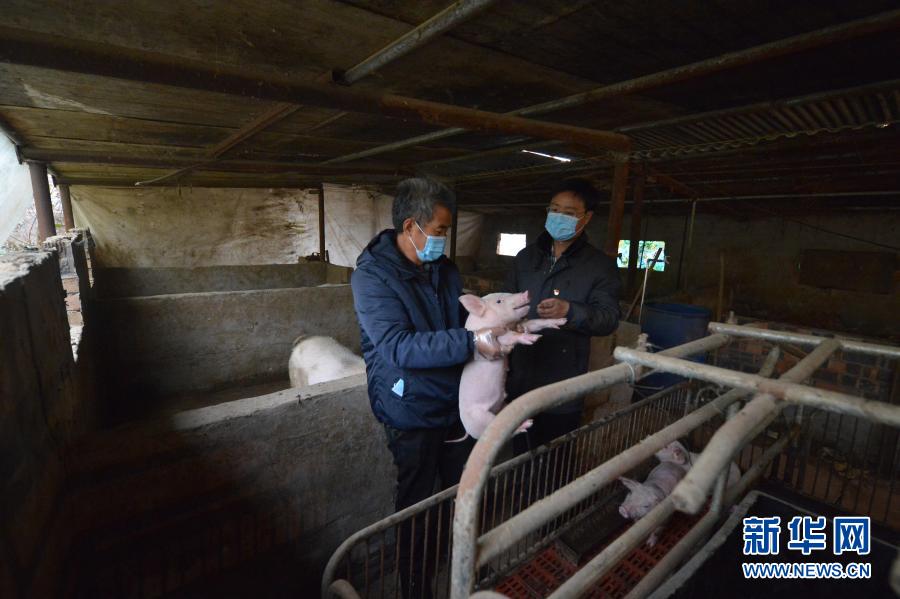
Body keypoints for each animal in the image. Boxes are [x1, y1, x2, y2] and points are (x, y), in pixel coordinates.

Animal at [457, 290, 566, 439]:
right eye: (499, 301)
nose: (526, 293)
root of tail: (467, 430)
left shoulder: (519, 325)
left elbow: (534, 323)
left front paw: (562, 321)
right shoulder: (497, 336)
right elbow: (511, 336)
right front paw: (534, 338)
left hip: (503, 406)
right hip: (480, 419)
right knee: (505, 431)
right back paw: (528, 423)